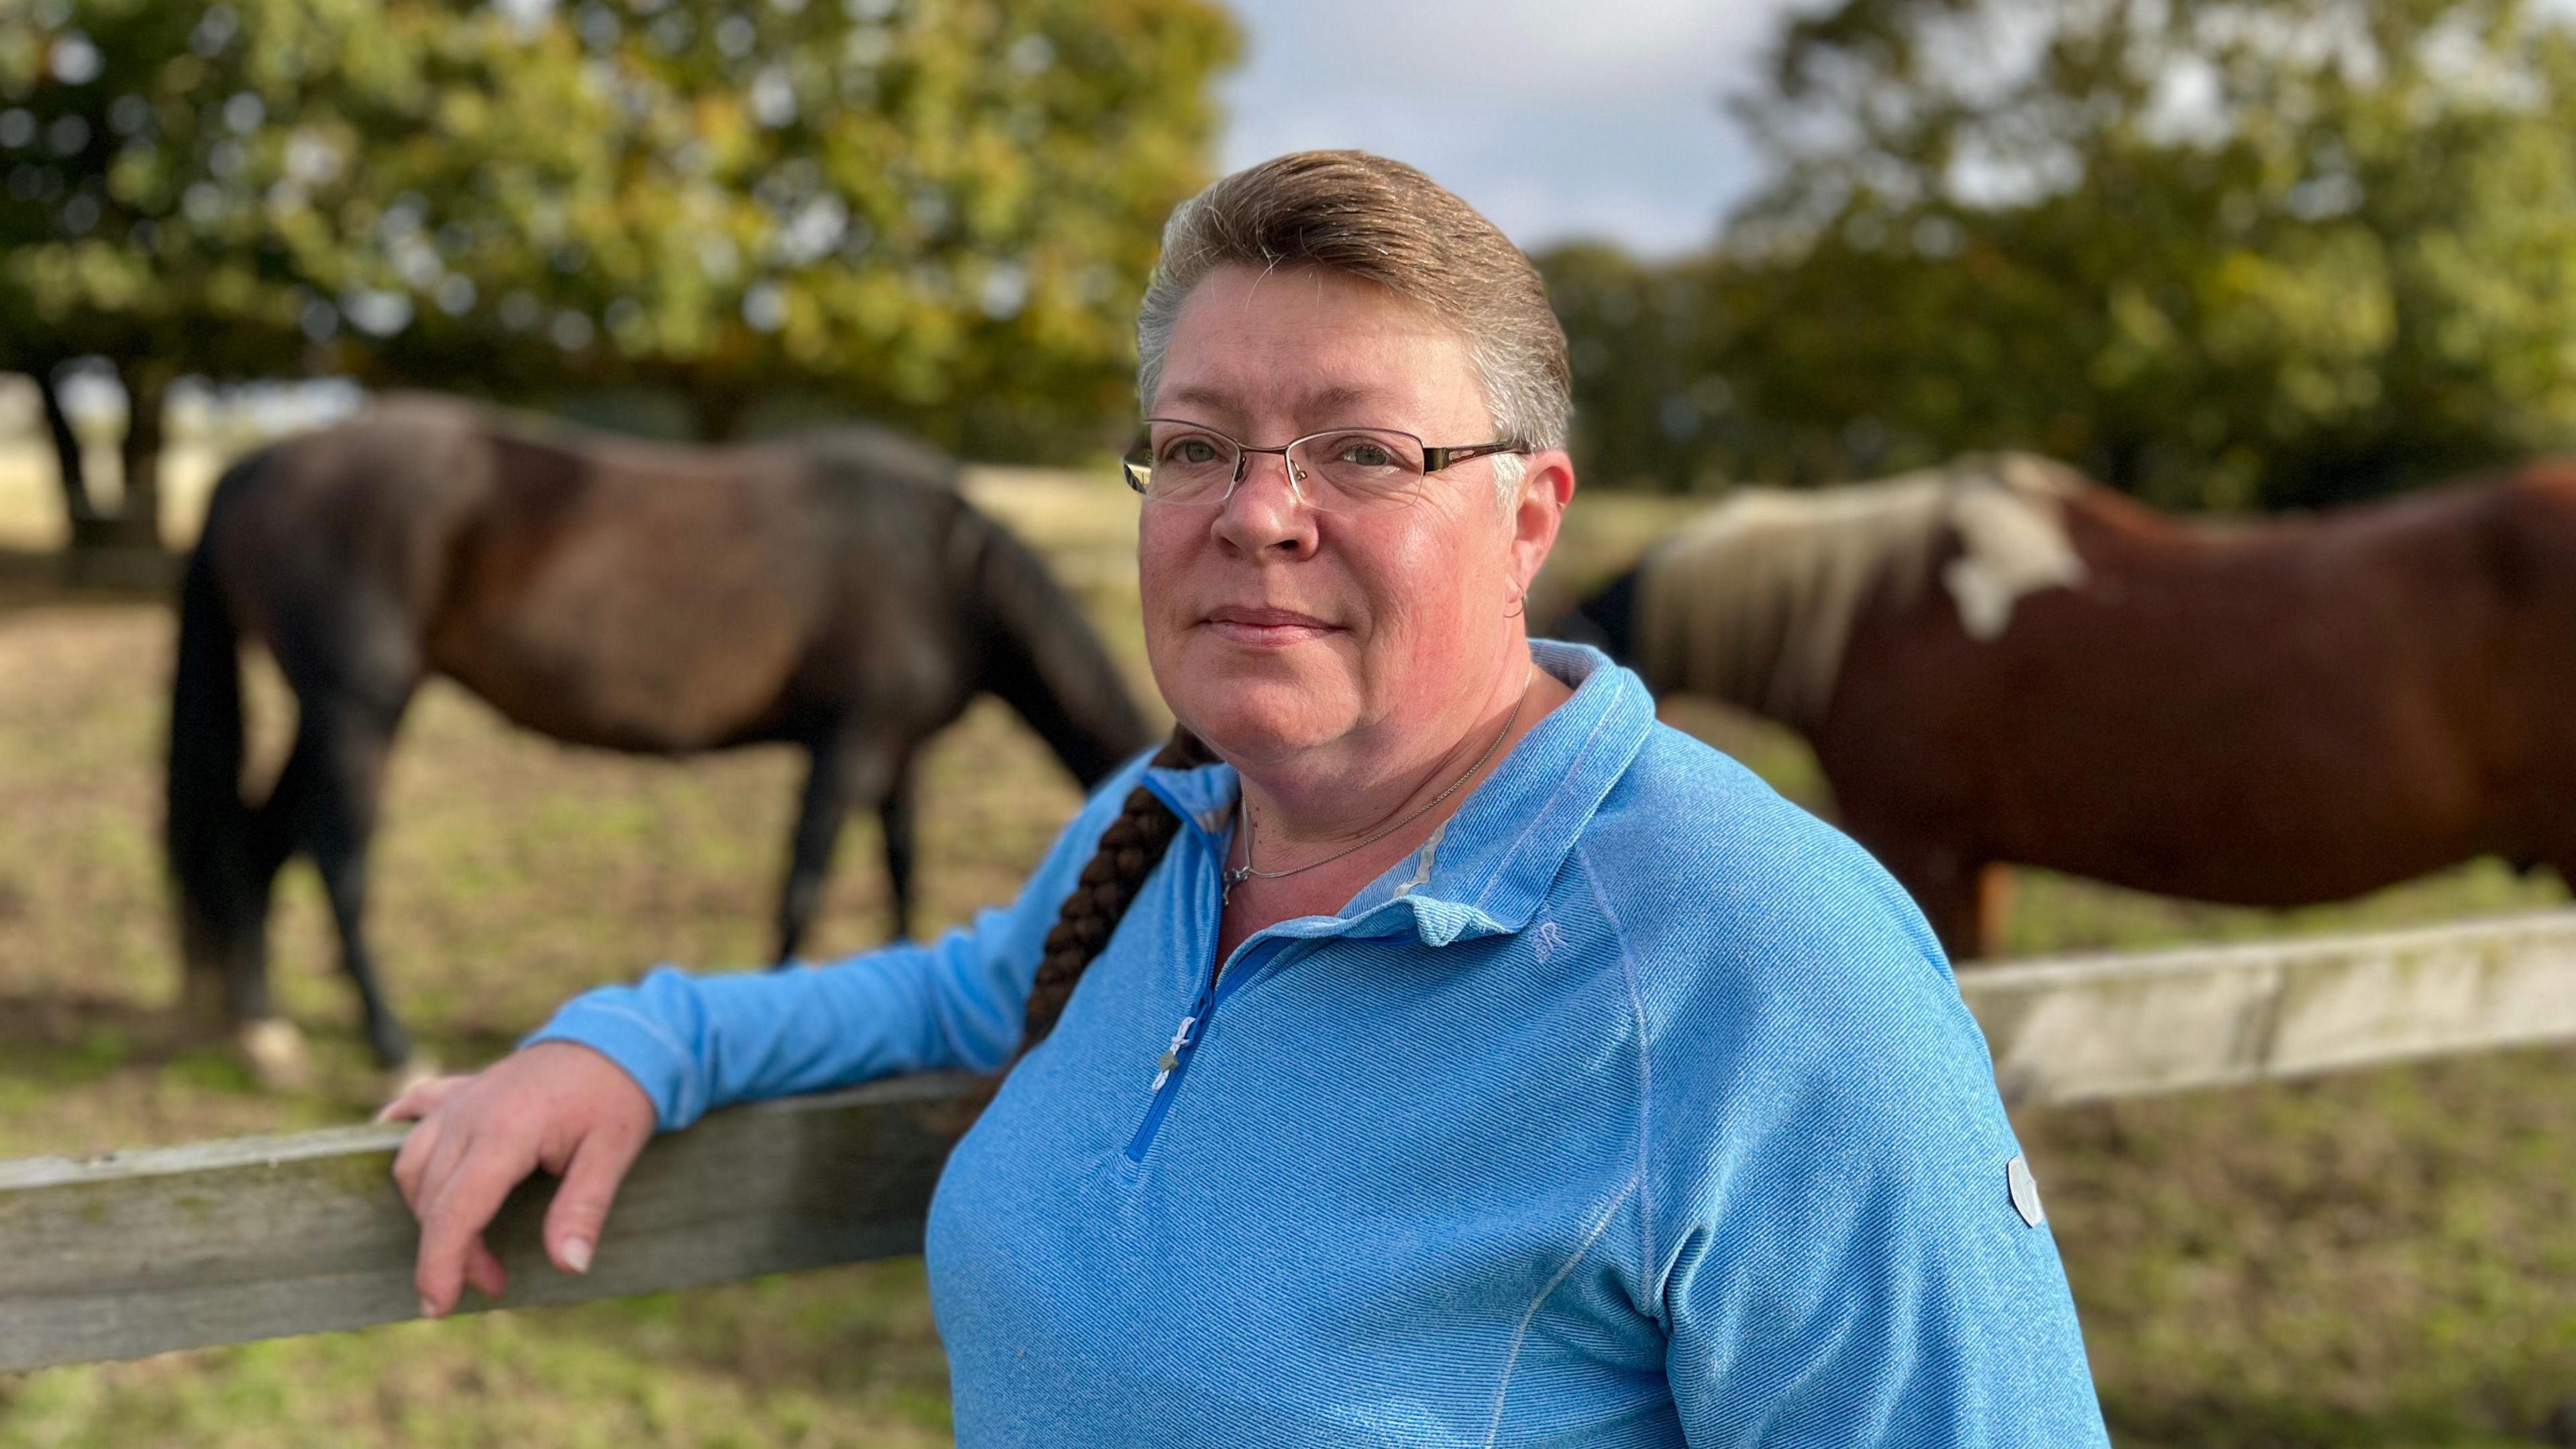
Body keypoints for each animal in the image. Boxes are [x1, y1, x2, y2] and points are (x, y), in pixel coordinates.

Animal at [166, 389, 1154, 1077]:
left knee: (257, 842)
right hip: (358, 710)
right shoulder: (850, 742)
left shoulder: (899, 751)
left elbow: (902, 869)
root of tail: (264, 462)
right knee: (338, 860)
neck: (939, 564)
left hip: (328, 714)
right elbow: (804, 879)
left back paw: (265, 1031)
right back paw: (392, 1044)